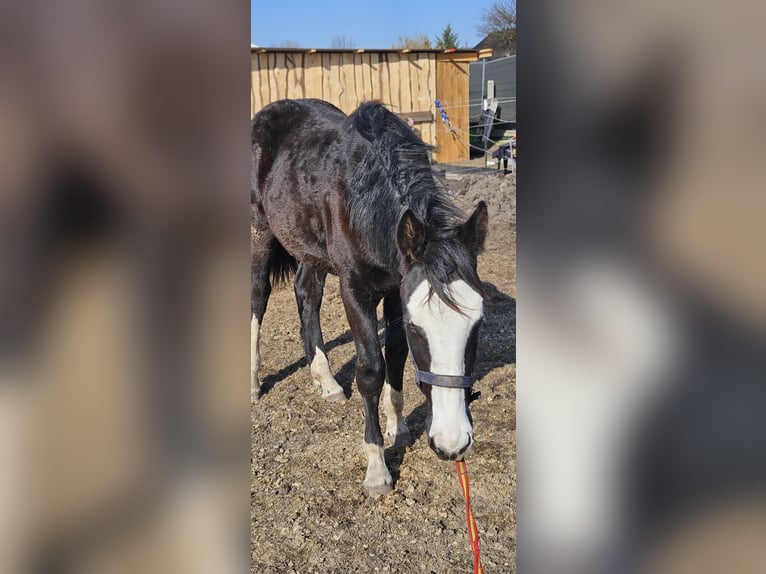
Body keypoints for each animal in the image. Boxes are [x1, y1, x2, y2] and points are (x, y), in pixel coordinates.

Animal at [251, 98, 488, 496]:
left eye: (479, 322)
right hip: (260, 231)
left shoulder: (396, 287)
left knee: (307, 293)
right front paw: (377, 468)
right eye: (417, 326)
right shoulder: (355, 290)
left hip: (308, 247)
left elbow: (396, 356)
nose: (452, 442)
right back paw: (254, 382)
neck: (367, 196)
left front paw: (398, 427)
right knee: (258, 295)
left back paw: (327, 381)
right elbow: (372, 370)